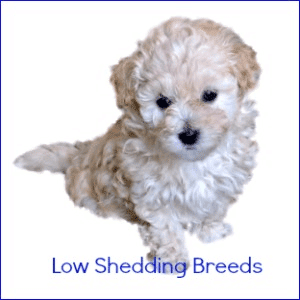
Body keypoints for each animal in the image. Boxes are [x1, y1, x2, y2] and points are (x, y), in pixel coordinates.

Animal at [14, 17, 260, 268]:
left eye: (210, 95)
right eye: (163, 102)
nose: (188, 135)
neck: (191, 160)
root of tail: (80, 154)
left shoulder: (223, 179)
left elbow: (213, 206)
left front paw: (211, 231)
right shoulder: (151, 192)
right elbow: (164, 227)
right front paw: (172, 258)